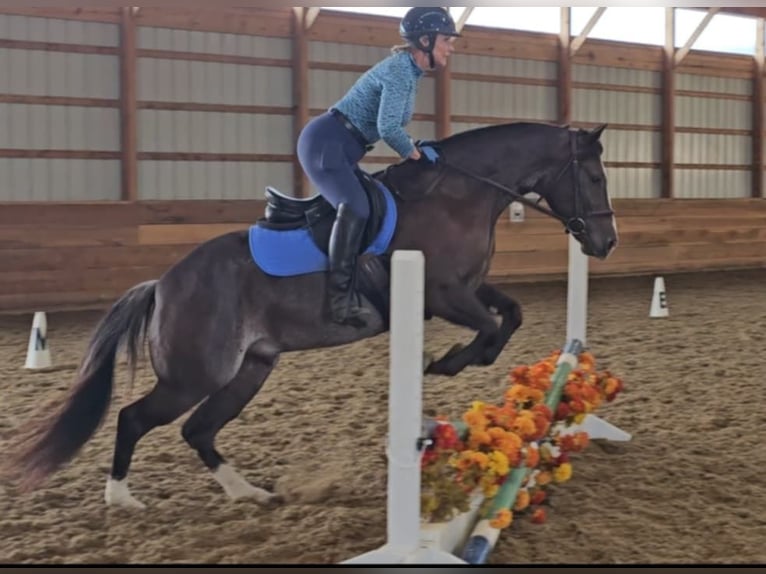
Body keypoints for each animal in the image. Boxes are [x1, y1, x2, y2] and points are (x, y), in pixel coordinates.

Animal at [4, 121, 617, 509]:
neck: (460, 194)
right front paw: (445, 364)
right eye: (593, 178)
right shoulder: (443, 295)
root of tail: (164, 285)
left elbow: (510, 314)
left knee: (198, 430)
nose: (606, 242)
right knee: (135, 418)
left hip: (250, 369)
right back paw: (121, 498)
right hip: (195, 375)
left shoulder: (467, 288)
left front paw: (459, 362)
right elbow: (491, 327)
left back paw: (249, 494)